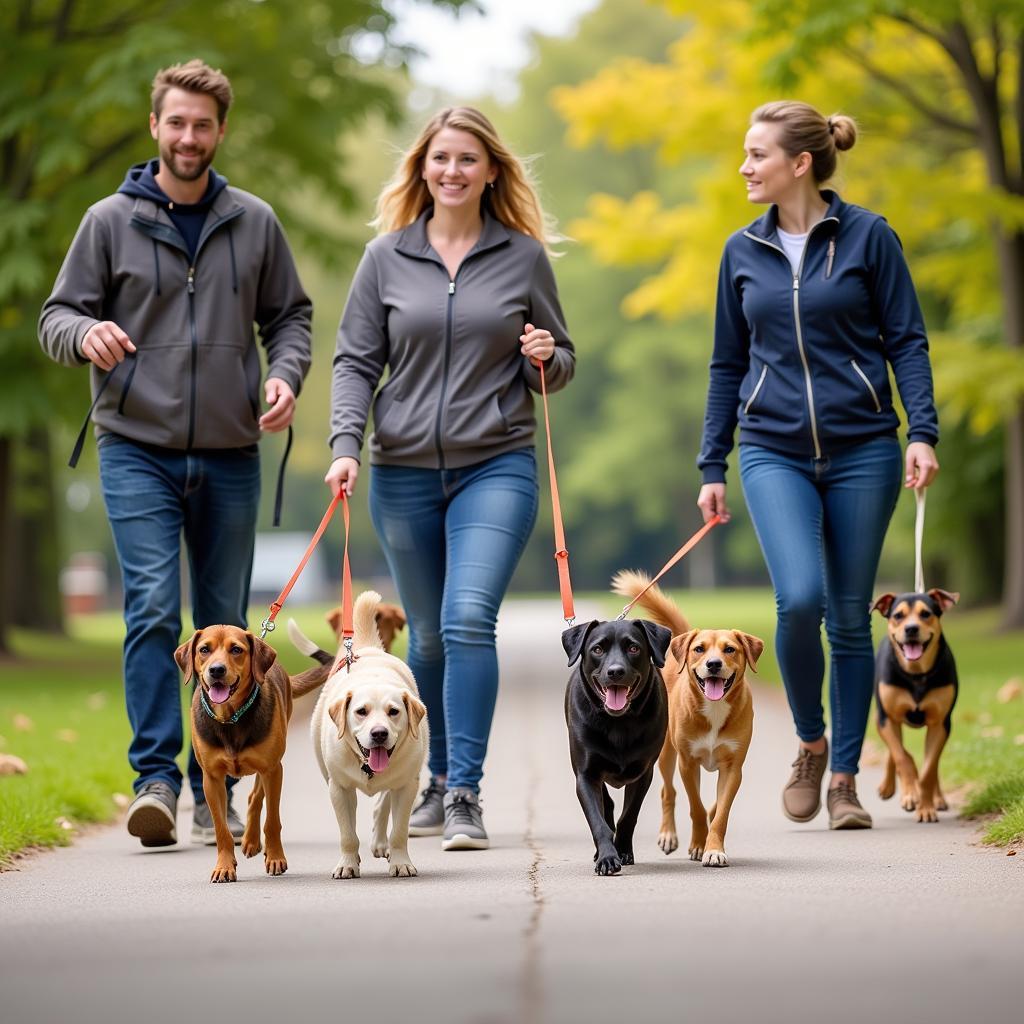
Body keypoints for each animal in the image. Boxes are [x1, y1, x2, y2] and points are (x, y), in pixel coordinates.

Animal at [174, 622, 329, 880]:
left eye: (236, 650)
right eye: (204, 650)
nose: (216, 670)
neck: (230, 718)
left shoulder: (273, 770)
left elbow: (272, 821)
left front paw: (275, 858)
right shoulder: (211, 779)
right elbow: (221, 828)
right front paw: (224, 866)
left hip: (269, 765)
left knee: (256, 797)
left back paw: (252, 841)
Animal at [307, 593, 428, 880]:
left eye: (394, 711)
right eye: (361, 711)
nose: (379, 733)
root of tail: (368, 648)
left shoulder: (407, 786)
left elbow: (399, 831)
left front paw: (400, 862)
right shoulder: (338, 788)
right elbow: (347, 834)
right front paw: (348, 863)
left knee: (382, 804)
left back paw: (381, 843)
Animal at [561, 610, 671, 876]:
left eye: (633, 647)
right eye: (597, 649)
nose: (615, 671)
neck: (618, 723)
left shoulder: (643, 773)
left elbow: (628, 816)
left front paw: (622, 851)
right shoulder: (586, 775)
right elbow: (598, 820)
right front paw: (607, 857)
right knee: (606, 805)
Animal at [606, 573, 761, 868]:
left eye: (730, 649)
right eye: (699, 649)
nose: (713, 664)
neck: (713, 710)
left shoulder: (733, 767)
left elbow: (720, 811)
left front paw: (714, 848)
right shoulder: (687, 763)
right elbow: (696, 807)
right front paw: (699, 846)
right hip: (667, 753)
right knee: (669, 793)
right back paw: (669, 835)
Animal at [872, 593, 958, 823]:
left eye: (925, 614)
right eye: (898, 615)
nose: (911, 628)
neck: (916, 674)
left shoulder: (940, 724)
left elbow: (929, 770)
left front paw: (926, 808)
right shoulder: (887, 718)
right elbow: (903, 757)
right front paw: (910, 794)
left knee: (933, 764)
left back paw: (938, 798)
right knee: (896, 751)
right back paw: (889, 788)